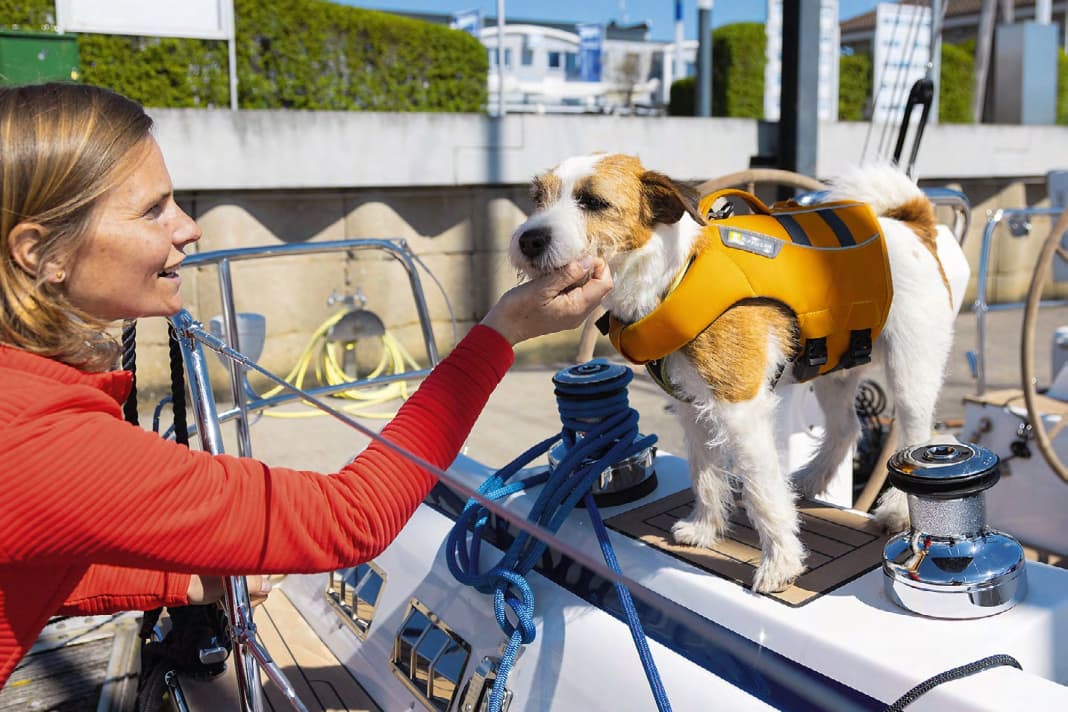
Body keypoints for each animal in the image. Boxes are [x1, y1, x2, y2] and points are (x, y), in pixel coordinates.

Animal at [508, 155, 969, 597]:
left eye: (593, 201)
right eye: (538, 199)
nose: (529, 239)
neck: (674, 276)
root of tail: (912, 225)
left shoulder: (741, 408)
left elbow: (761, 491)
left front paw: (780, 564)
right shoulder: (691, 406)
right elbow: (704, 474)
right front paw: (704, 529)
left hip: (911, 366)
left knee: (916, 433)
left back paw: (894, 510)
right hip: (836, 369)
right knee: (846, 428)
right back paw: (808, 480)